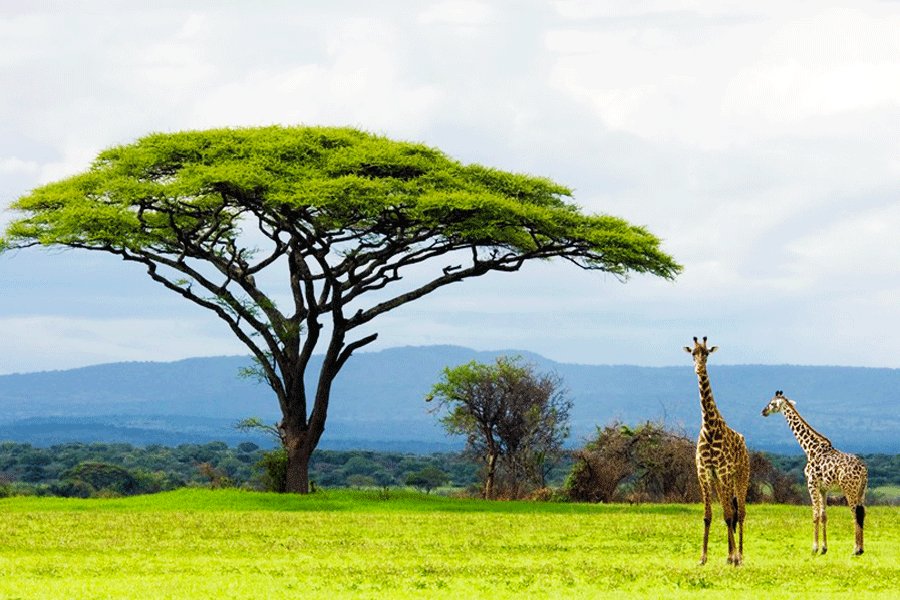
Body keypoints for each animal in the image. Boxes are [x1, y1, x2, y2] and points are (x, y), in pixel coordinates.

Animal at [684, 338, 748, 568]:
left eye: (707, 354)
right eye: (693, 353)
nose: (698, 368)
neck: (710, 427)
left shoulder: (724, 472)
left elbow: (730, 516)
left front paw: (736, 557)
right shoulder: (704, 473)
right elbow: (709, 516)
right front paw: (702, 557)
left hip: (740, 476)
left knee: (740, 513)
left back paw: (740, 555)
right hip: (721, 482)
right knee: (728, 511)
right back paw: (730, 555)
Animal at [764, 392, 868, 556]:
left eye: (772, 403)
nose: (763, 411)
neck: (810, 449)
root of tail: (863, 469)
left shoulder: (811, 484)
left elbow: (815, 515)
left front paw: (814, 548)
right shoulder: (823, 489)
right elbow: (824, 515)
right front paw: (824, 548)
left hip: (849, 489)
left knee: (855, 513)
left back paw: (855, 549)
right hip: (861, 490)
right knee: (862, 513)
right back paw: (861, 549)